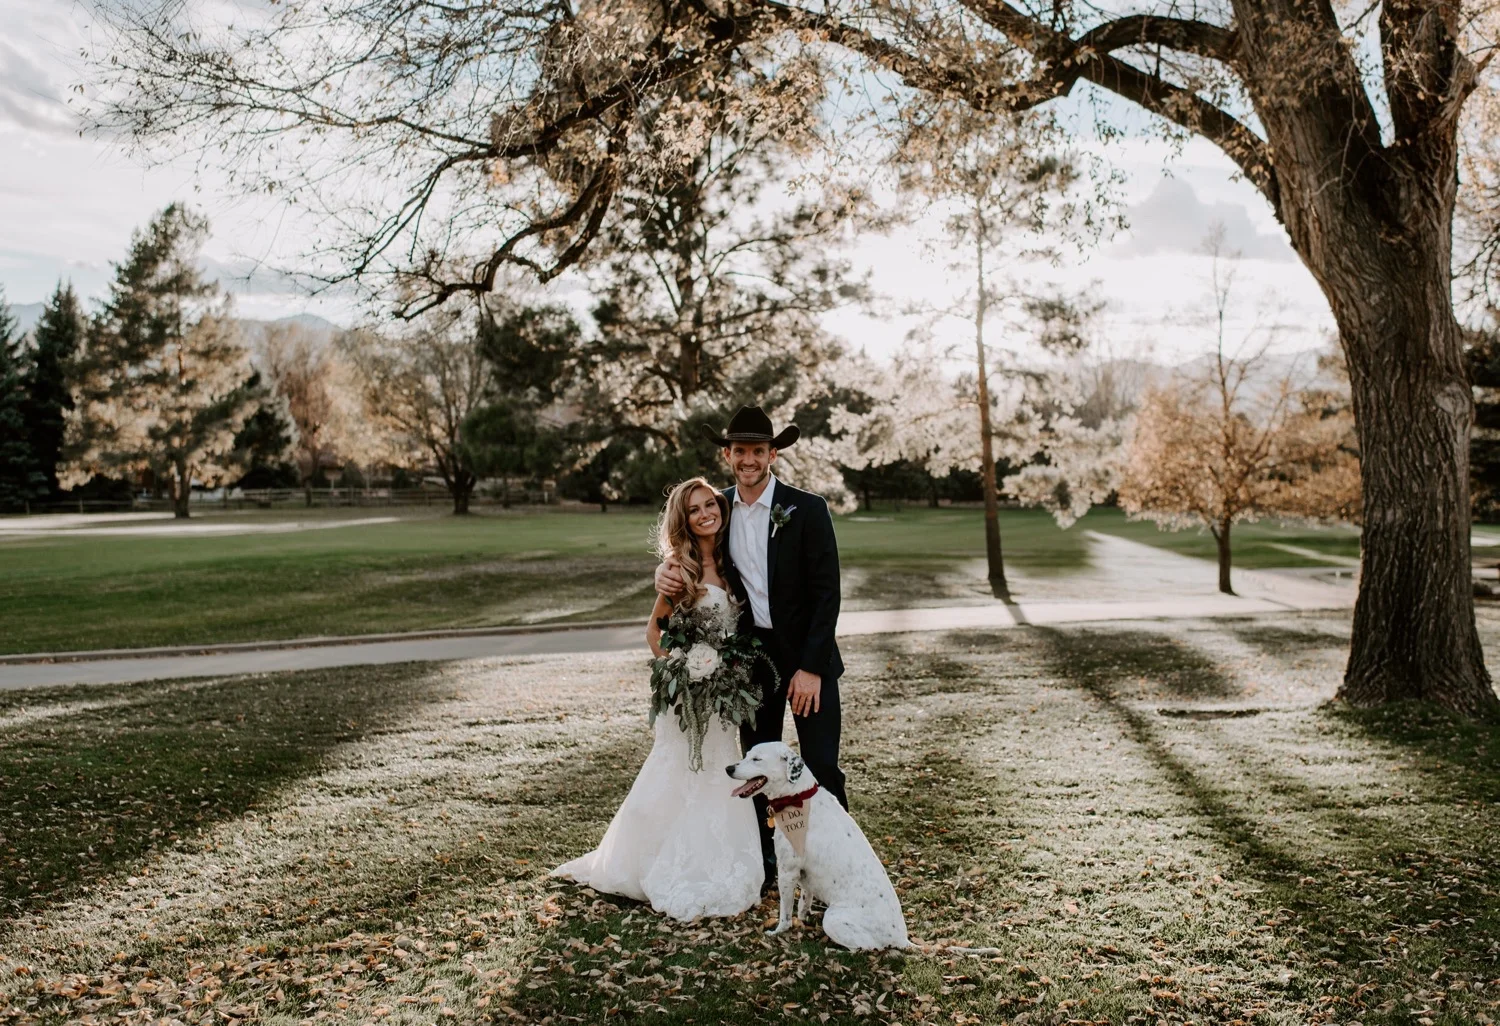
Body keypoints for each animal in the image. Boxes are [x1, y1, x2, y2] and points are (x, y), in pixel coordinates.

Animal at [727, 742, 908, 950]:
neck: (797, 797)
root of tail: (901, 939)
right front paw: (802, 919)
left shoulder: (787, 872)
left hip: (833, 919)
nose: (728, 768)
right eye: (747, 755)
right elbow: (804, 901)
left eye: (757, 759)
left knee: (866, 947)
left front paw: (779, 931)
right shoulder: (805, 875)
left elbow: (785, 913)